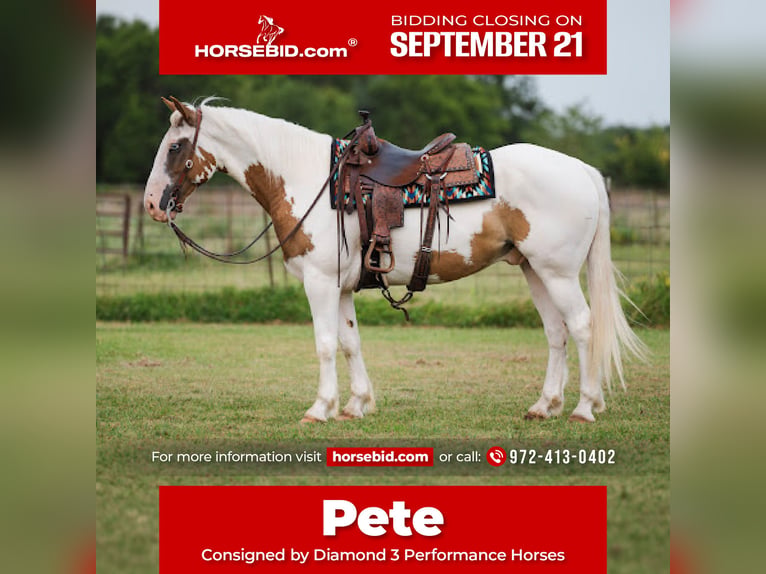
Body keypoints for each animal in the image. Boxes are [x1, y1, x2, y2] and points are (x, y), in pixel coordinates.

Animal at [143, 96, 646, 424]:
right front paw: (356, 405)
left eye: (175, 147)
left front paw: (319, 409)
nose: (152, 203)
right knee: (556, 333)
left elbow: (325, 344)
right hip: (533, 270)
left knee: (582, 327)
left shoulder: (319, 282)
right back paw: (545, 406)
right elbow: (350, 342)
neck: (308, 179)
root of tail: (581, 169)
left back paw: (584, 408)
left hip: (558, 273)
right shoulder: (341, 286)